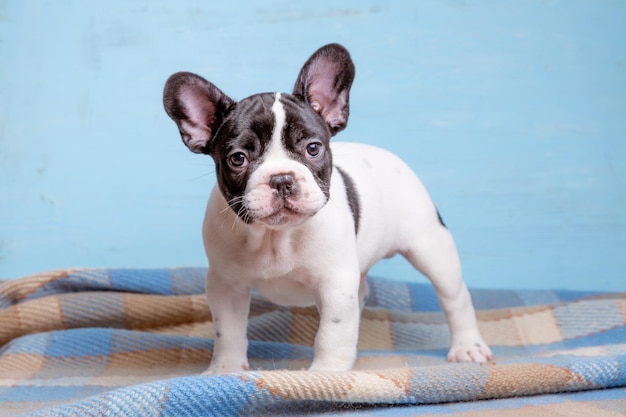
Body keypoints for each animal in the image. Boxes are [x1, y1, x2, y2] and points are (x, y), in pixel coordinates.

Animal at [163, 43, 490, 374]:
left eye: (313, 148)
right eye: (238, 158)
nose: (282, 179)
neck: (275, 237)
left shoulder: (335, 284)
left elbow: (332, 332)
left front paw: (326, 374)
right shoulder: (226, 285)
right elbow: (227, 330)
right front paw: (225, 369)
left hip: (430, 247)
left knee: (455, 297)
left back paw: (468, 346)